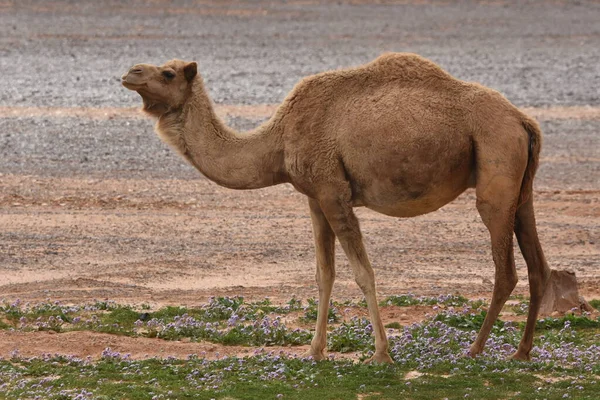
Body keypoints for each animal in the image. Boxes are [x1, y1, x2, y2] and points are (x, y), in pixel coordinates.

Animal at [122, 52, 552, 362]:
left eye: (168, 74)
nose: (129, 72)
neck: (278, 141)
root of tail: (523, 120)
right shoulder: (314, 197)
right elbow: (323, 274)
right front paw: (315, 351)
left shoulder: (333, 191)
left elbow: (363, 273)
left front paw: (381, 354)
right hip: (522, 189)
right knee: (537, 266)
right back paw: (521, 352)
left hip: (495, 171)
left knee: (506, 270)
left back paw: (476, 349)